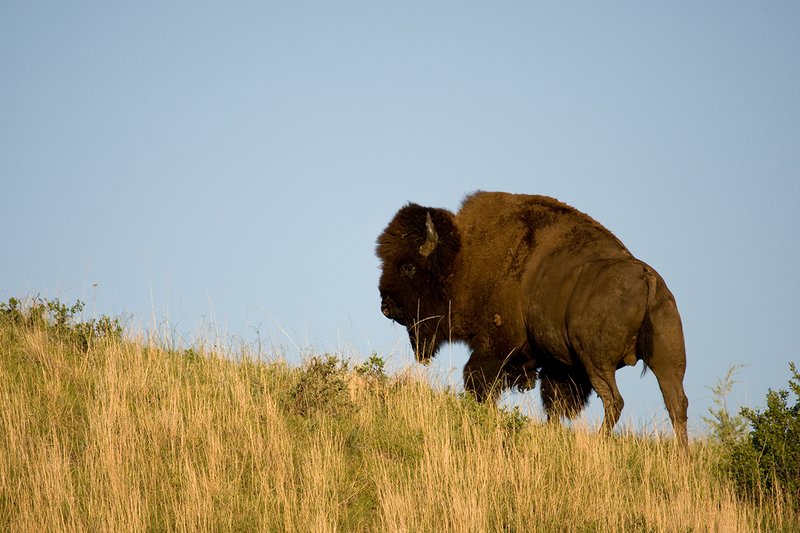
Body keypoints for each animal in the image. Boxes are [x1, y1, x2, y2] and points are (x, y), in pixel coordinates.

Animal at [376, 191, 688, 447]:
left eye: (408, 267)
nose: (386, 307)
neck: (463, 258)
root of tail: (646, 278)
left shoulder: (497, 348)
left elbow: (477, 381)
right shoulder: (557, 365)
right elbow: (554, 402)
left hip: (596, 360)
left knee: (615, 399)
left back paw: (600, 442)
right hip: (667, 361)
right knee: (677, 403)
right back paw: (681, 456)